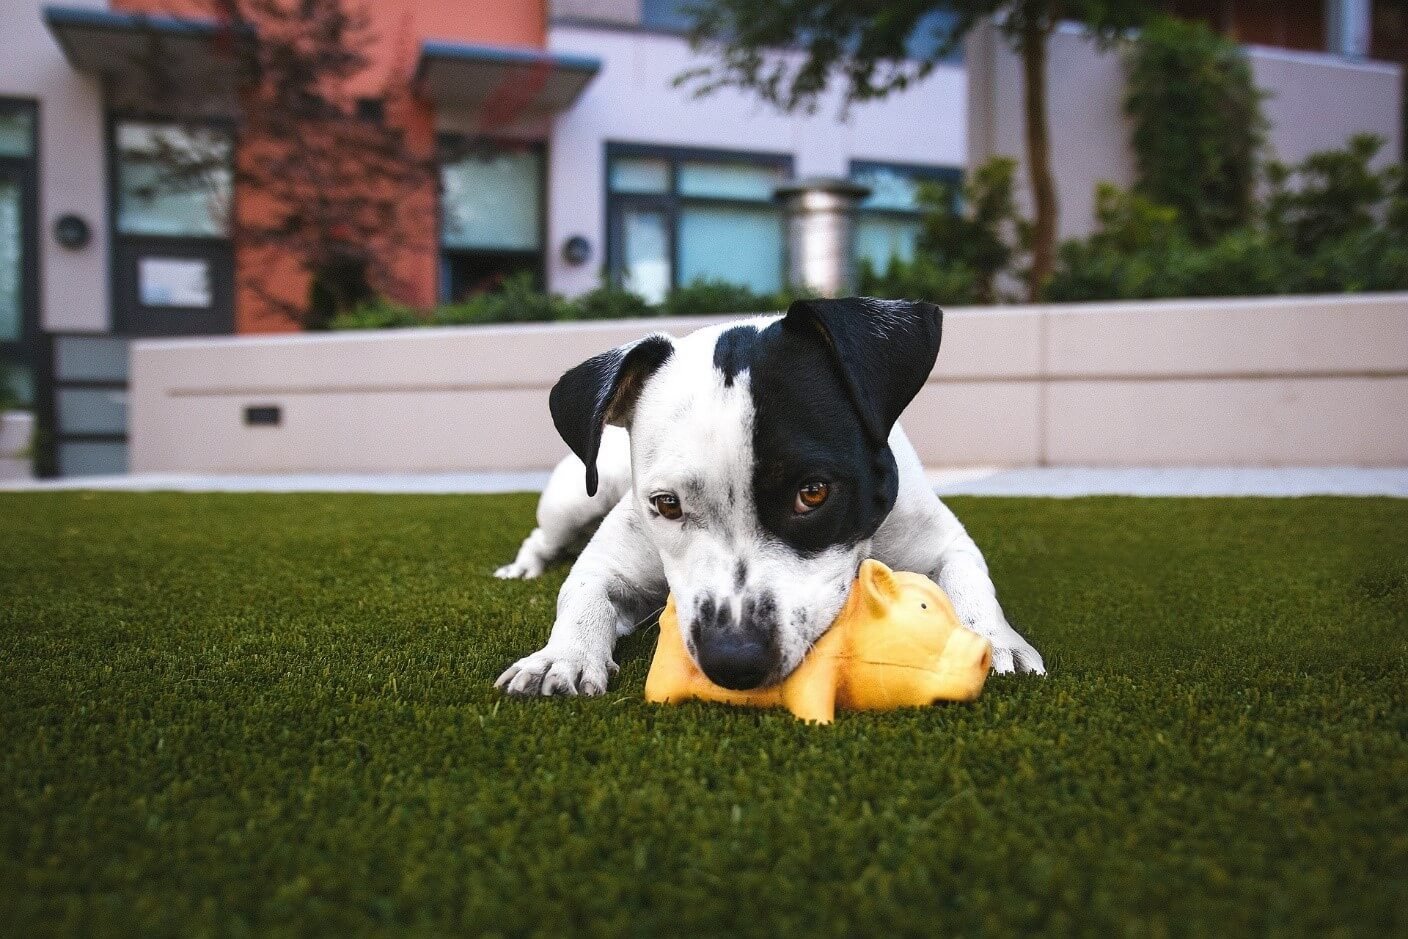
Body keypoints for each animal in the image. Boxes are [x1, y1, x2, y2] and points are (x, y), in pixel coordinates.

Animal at [495, 299, 1047, 698]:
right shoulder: (610, 562)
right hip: (573, 499)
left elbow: (970, 581)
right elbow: (582, 594)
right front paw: (560, 656)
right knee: (542, 536)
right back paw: (523, 568)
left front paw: (995, 640)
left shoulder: (942, 541)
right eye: (667, 504)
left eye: (813, 492)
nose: (733, 659)